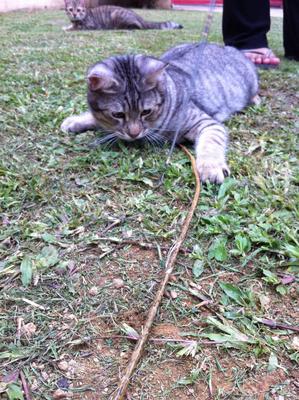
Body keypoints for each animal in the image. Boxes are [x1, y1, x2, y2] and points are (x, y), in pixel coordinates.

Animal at [59, 42, 258, 183]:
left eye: (146, 112)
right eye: (118, 115)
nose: (134, 133)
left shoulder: (207, 123)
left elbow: (211, 142)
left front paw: (210, 168)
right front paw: (76, 121)